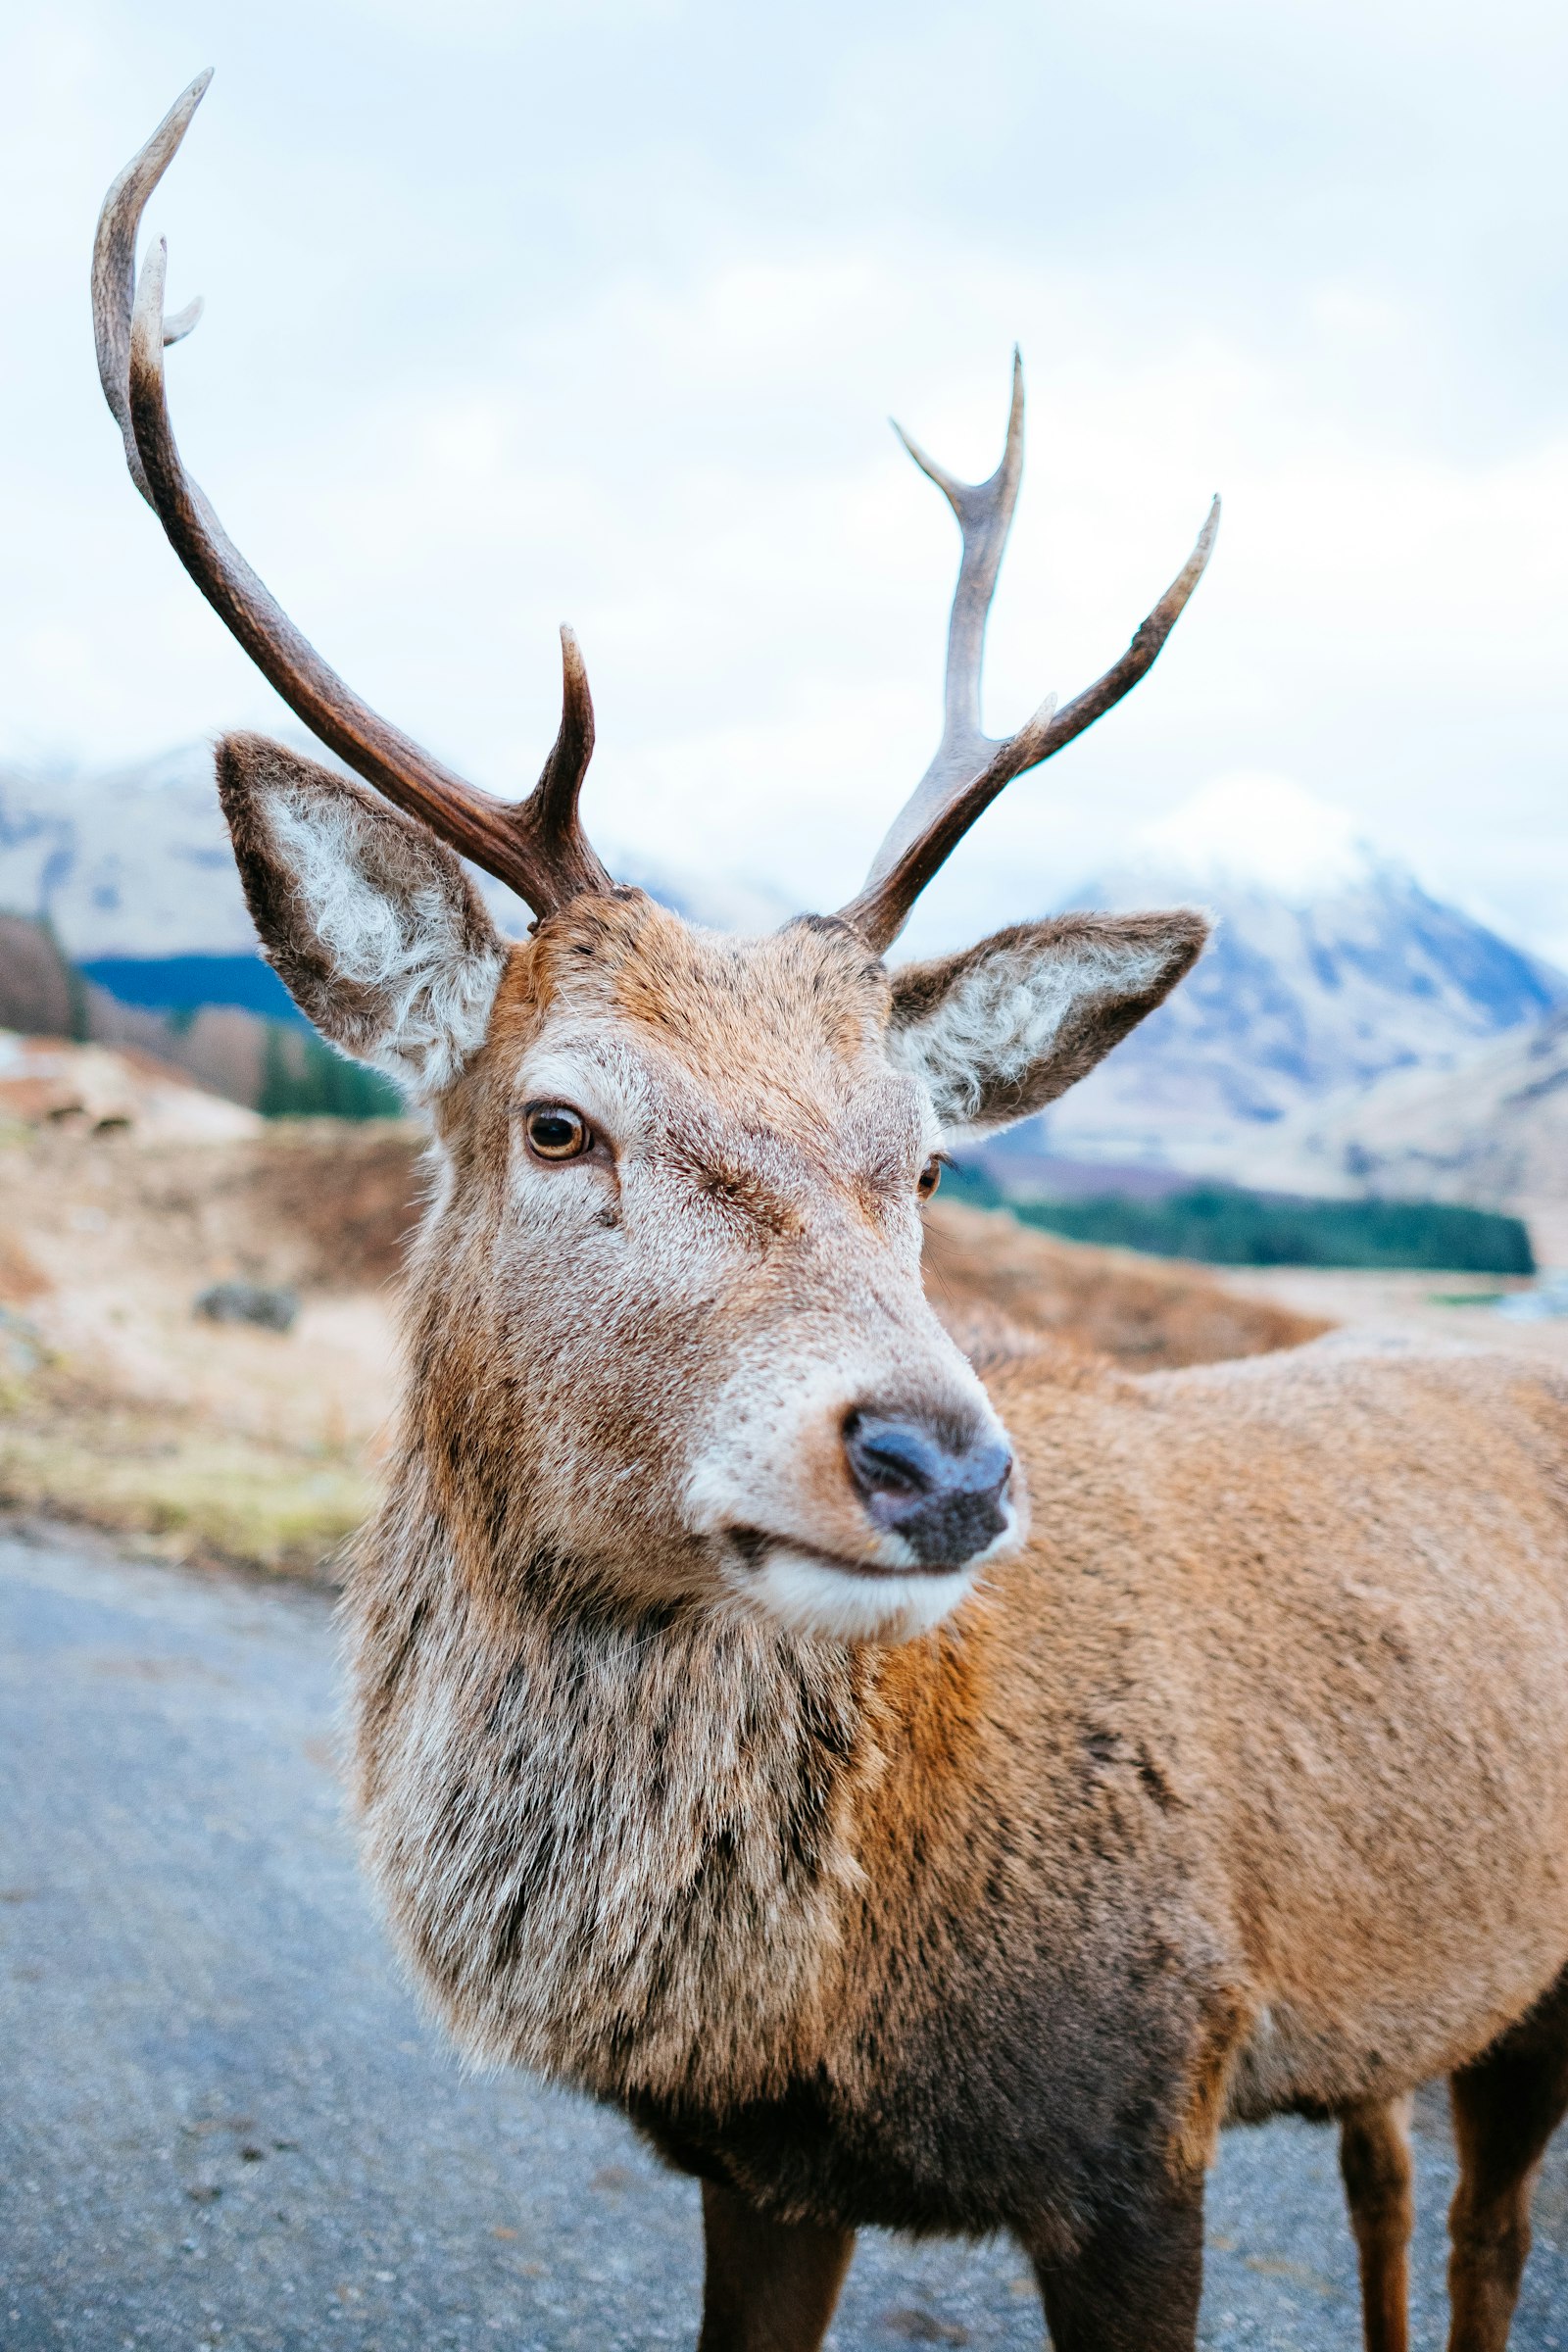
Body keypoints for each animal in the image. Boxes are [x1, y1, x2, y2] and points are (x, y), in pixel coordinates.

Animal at [95, 74, 1568, 2352]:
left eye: (928, 1157)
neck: (816, 2011)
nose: (940, 1464)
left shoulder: (1147, 2110)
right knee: (1395, 2174)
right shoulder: (760, 2174)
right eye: (557, 1122)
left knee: (1491, 2224)